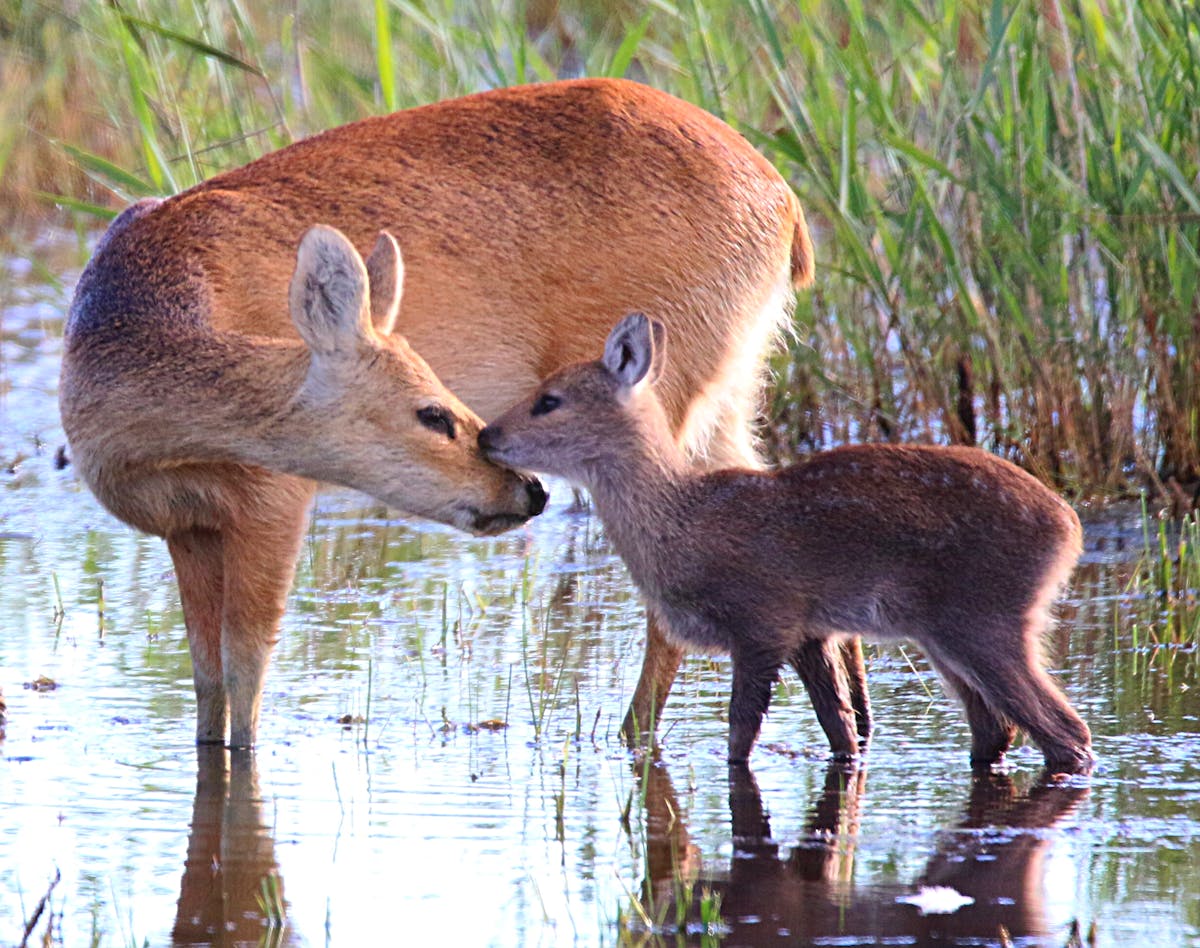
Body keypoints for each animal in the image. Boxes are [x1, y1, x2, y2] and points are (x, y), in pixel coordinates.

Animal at [63, 79, 844, 748]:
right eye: (432, 412)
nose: (527, 492)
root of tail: (783, 203)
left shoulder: (272, 499)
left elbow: (245, 686)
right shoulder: (188, 527)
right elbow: (207, 689)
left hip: (666, 398)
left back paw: (629, 740)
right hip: (731, 394)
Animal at [477, 314, 1099, 777]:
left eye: (550, 400)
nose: (486, 435)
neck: (683, 525)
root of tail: (1069, 527)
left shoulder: (763, 620)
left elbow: (740, 734)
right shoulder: (809, 631)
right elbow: (841, 732)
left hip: (986, 620)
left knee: (1066, 733)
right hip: (945, 633)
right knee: (998, 729)